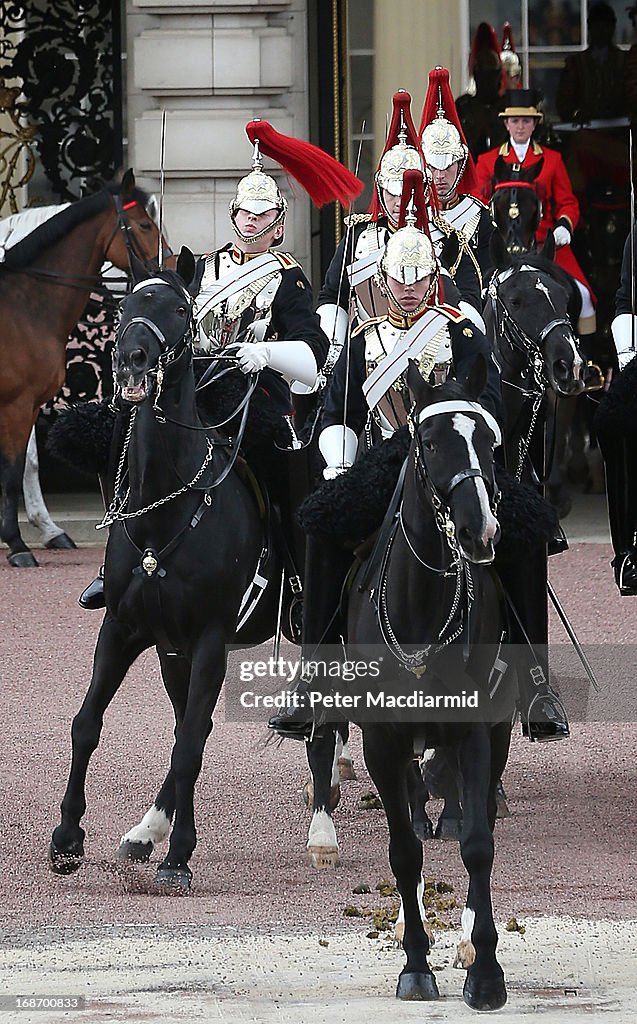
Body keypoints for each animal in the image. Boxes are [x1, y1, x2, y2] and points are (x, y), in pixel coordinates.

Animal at [0, 169, 166, 569]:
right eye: (144, 224)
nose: (169, 268)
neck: (26, 303)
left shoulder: (25, 406)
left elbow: (24, 465)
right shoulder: (15, 405)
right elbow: (13, 471)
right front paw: (17, 543)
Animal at [51, 253, 286, 888]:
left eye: (180, 309)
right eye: (126, 304)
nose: (131, 359)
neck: (167, 510)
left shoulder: (208, 638)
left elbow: (188, 746)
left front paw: (180, 854)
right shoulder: (130, 630)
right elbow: (88, 723)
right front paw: (68, 837)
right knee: (191, 724)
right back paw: (145, 830)